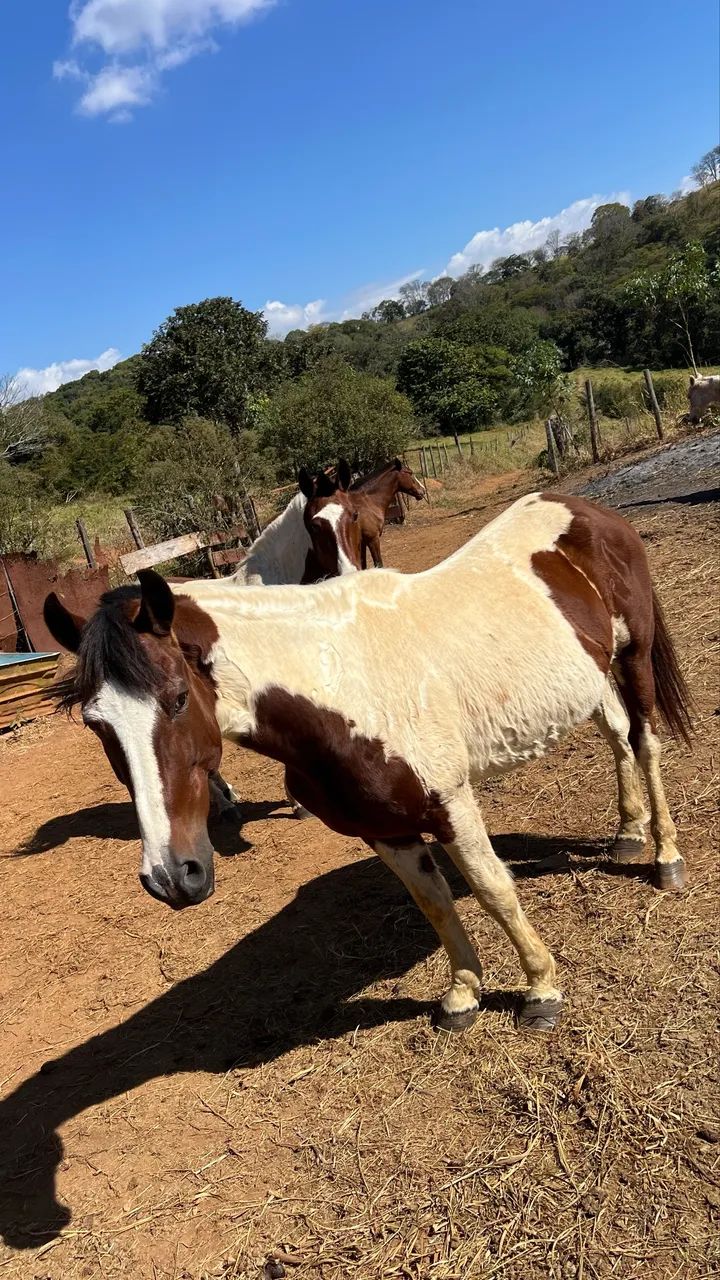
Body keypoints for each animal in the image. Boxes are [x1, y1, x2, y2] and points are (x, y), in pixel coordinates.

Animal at [43, 491, 691, 1035]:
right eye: (96, 723)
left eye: (178, 698)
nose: (173, 877)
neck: (341, 685)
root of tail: (582, 507)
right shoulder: (384, 828)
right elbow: (435, 903)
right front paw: (463, 994)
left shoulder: (450, 803)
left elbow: (491, 888)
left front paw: (540, 989)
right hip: (587, 677)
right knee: (615, 736)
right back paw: (628, 833)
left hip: (632, 656)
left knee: (643, 743)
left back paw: (665, 857)